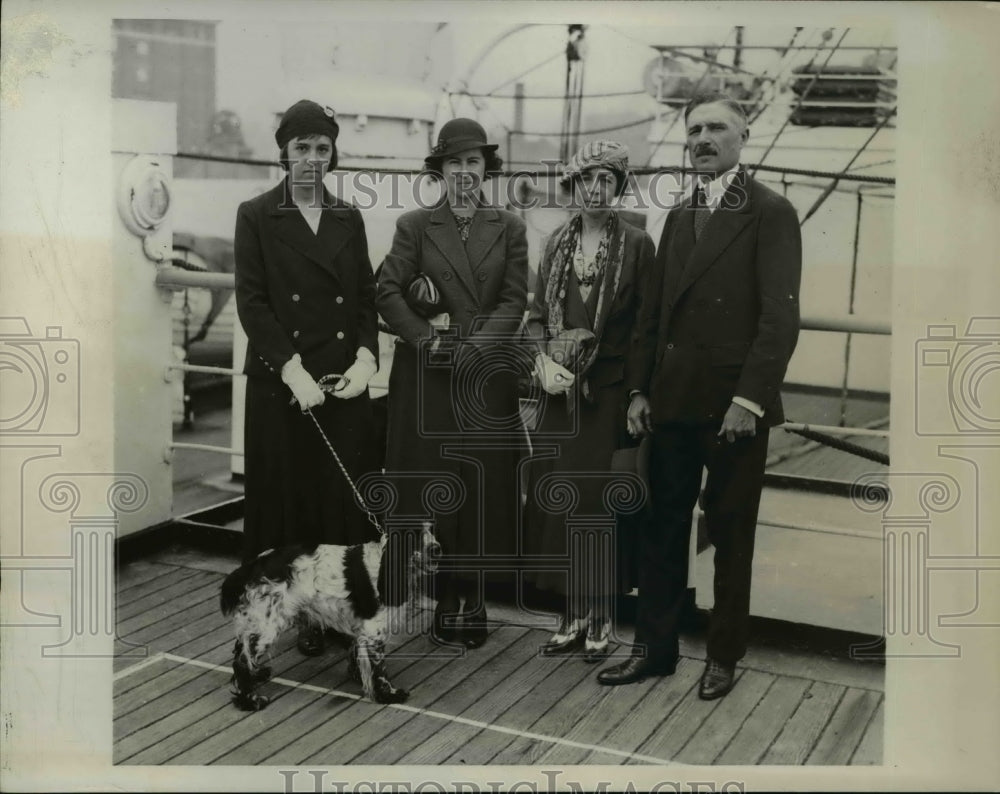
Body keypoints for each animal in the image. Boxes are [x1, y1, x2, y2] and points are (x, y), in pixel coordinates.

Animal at [221, 524, 440, 708]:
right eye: (414, 534)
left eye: (431, 529)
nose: (436, 548)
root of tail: (253, 565)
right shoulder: (373, 632)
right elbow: (379, 670)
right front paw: (388, 695)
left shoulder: (360, 630)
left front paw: (358, 676)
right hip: (267, 625)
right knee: (242, 661)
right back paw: (251, 700)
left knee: (242, 649)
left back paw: (257, 674)